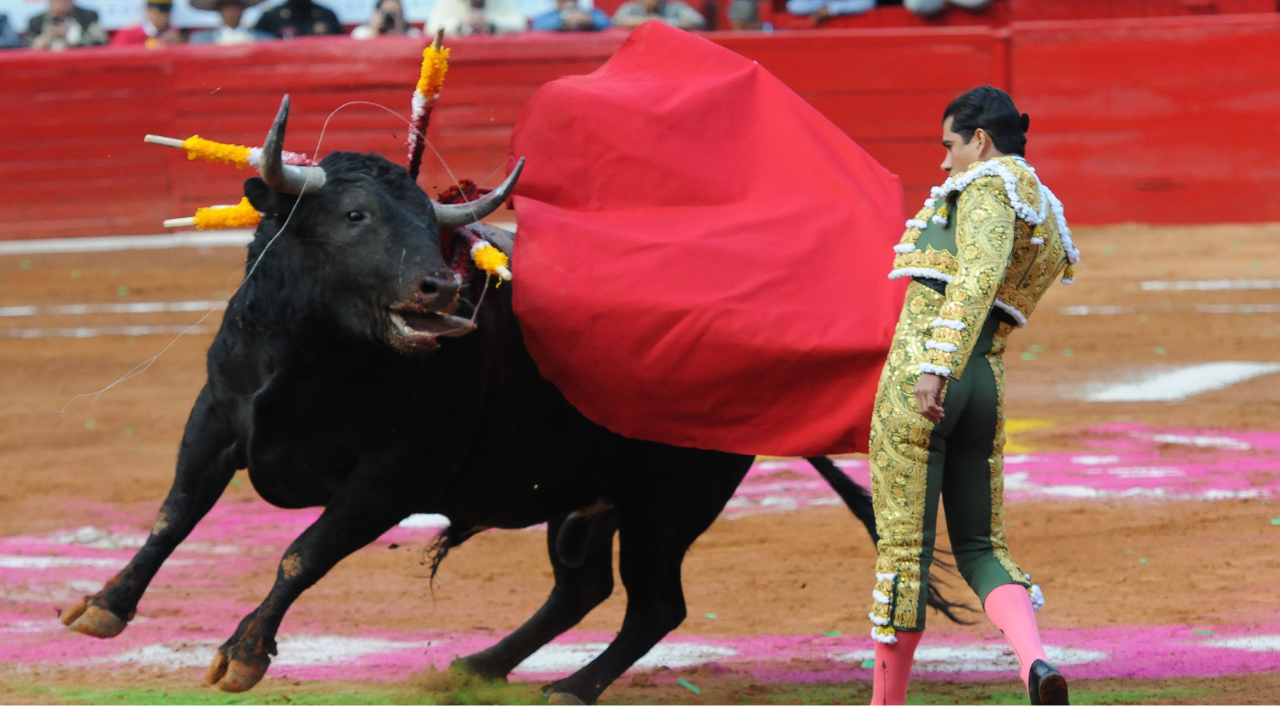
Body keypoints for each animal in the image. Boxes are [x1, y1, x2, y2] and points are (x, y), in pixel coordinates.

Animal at [60, 141, 962, 702]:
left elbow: (301, 554)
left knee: (654, 605)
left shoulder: (390, 477)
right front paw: (103, 607)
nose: (438, 289)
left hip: (669, 501)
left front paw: (243, 655)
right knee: (584, 586)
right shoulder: (215, 421)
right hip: (589, 501)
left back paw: (568, 686)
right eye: (354, 217)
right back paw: (478, 664)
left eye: (430, 223)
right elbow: (173, 517)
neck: (319, 354)